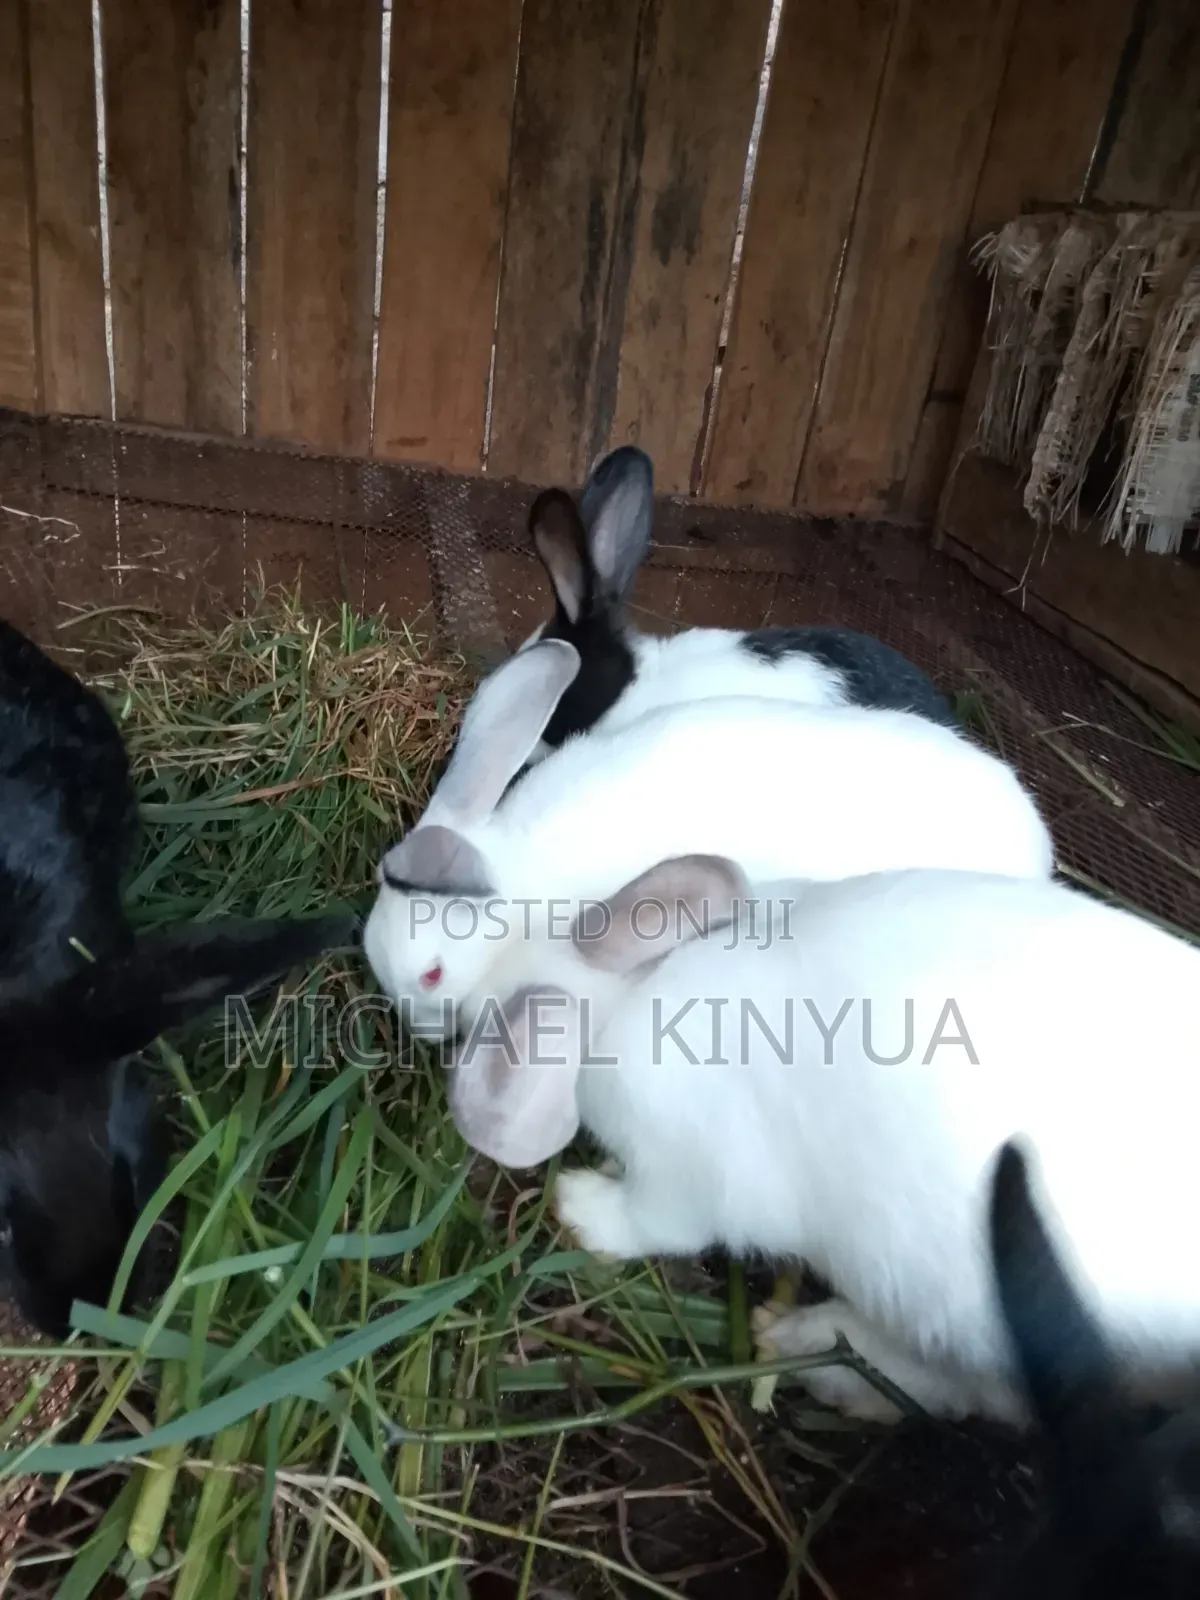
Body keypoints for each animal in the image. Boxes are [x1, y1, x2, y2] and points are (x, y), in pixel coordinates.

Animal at [445, 854, 1200, 1431]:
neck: (633, 995)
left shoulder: (692, 1173)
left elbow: (655, 1223)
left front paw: (579, 1206)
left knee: (970, 1391)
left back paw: (806, 1348)